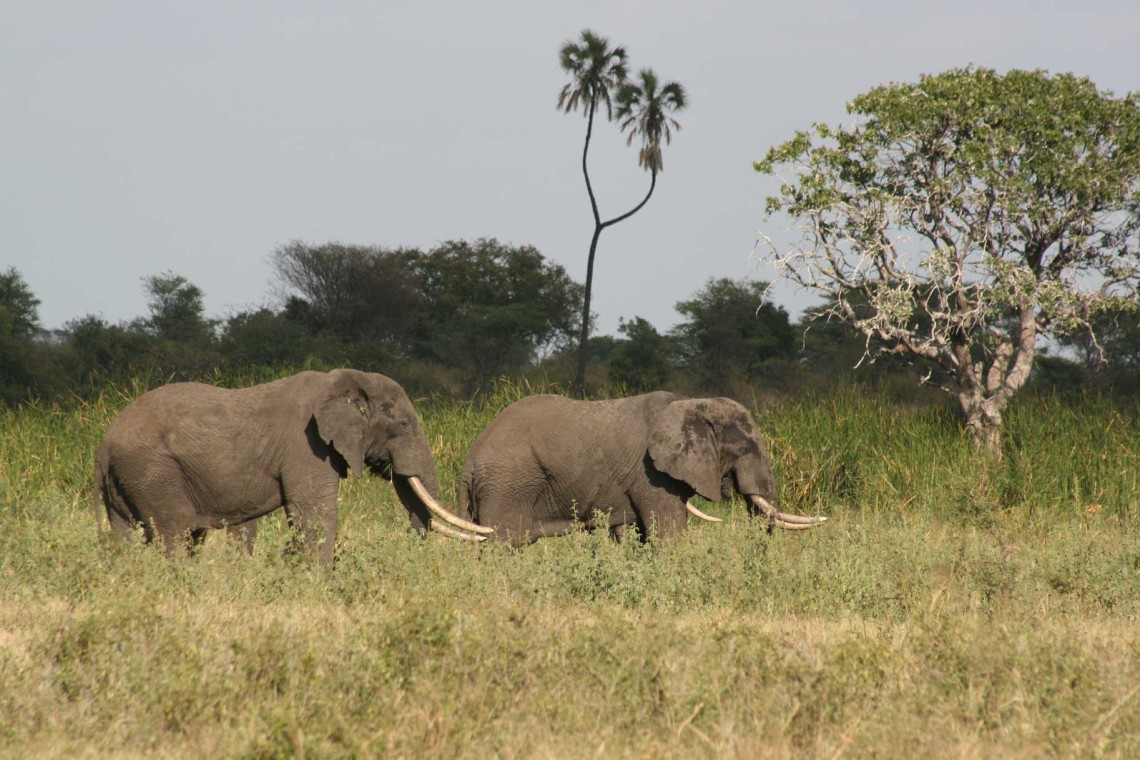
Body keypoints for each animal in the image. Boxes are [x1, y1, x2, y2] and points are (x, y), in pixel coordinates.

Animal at [96, 369, 490, 565]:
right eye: (405, 425)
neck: (345, 382)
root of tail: (103, 447)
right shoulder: (308, 445)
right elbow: (314, 512)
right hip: (152, 471)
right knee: (176, 532)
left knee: (127, 536)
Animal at [458, 391, 825, 546]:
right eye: (745, 449)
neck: (693, 403)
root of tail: (470, 462)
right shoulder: (652, 474)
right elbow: (668, 534)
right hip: (510, 483)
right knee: (504, 542)